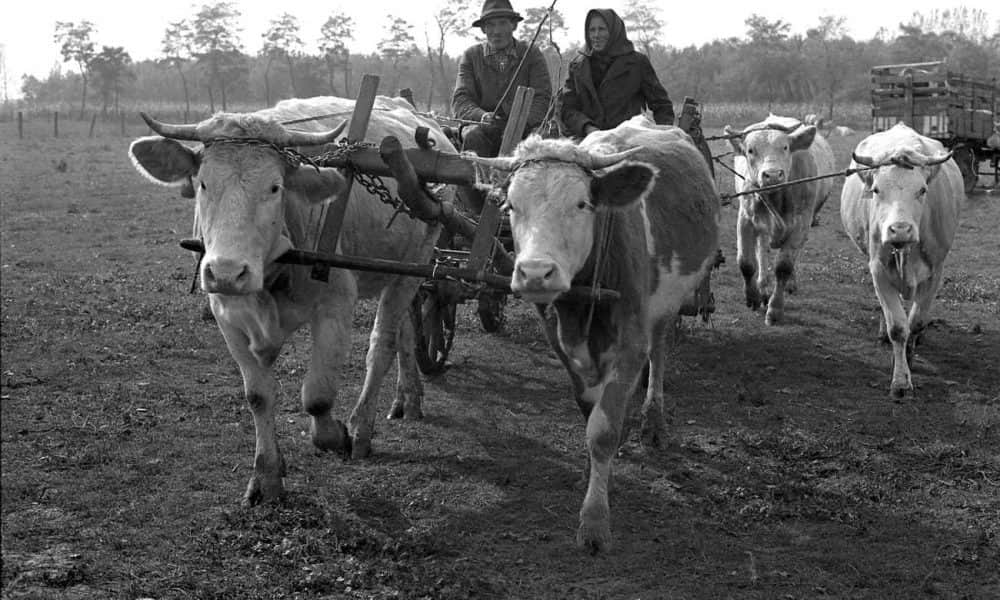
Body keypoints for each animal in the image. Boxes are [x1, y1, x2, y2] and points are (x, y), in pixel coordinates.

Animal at [127, 97, 456, 506]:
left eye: (275, 187)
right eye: (203, 183)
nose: (226, 272)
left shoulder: (336, 306)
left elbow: (317, 396)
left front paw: (337, 436)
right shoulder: (226, 315)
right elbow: (258, 396)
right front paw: (267, 476)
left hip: (418, 258)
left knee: (383, 343)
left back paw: (362, 428)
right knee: (407, 331)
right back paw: (408, 400)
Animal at [468, 115, 720, 552]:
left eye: (582, 204)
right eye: (511, 205)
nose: (535, 273)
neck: (581, 302)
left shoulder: (631, 339)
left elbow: (602, 430)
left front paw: (595, 522)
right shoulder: (560, 340)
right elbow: (590, 410)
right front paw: (594, 475)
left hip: (667, 306)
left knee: (659, 352)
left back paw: (653, 421)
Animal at [720, 115, 836, 326]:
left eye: (785, 147)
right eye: (750, 150)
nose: (772, 175)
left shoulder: (801, 224)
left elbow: (784, 267)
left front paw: (775, 309)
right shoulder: (746, 219)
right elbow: (746, 263)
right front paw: (752, 296)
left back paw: (788, 284)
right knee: (762, 251)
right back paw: (762, 287)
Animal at [844, 122, 960, 398]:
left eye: (922, 190)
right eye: (876, 190)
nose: (900, 230)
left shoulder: (935, 272)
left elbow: (915, 322)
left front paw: (910, 356)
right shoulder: (878, 269)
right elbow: (897, 327)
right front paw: (900, 381)